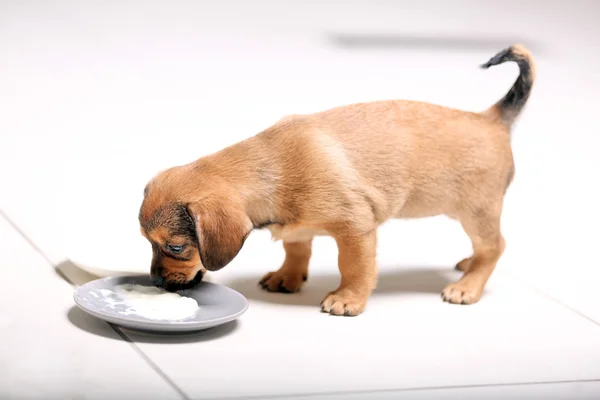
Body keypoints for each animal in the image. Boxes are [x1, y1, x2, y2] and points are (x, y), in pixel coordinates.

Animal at [139, 44, 536, 316]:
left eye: (175, 247)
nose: (156, 281)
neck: (270, 166)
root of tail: (491, 118)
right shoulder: (297, 228)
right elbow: (297, 249)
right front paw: (288, 276)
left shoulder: (356, 230)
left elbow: (355, 268)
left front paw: (348, 298)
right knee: (486, 248)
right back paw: (468, 265)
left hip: (477, 210)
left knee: (494, 247)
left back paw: (467, 286)